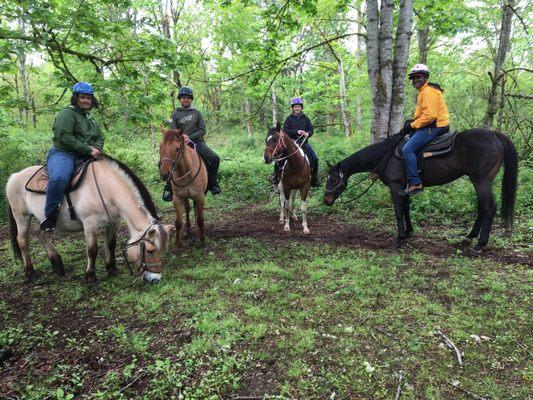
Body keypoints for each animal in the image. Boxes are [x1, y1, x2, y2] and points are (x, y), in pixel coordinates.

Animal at [5, 155, 175, 284]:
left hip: (44, 220)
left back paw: (57, 266)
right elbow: (92, 250)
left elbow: (110, 244)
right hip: (22, 217)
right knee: (23, 241)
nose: (155, 280)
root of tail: (14, 176)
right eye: (150, 251)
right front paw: (91, 277)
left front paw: (112, 268)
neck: (106, 189)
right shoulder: (90, 225)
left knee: (43, 235)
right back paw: (30, 272)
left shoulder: (113, 222)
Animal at [322, 129, 516, 253]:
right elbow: (406, 209)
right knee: (483, 208)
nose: (326, 200)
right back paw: (470, 236)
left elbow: (398, 211)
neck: (386, 155)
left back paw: (479, 245)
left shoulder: (395, 187)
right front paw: (408, 232)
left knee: (489, 208)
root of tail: (495, 135)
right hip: (479, 182)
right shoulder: (404, 188)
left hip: (481, 181)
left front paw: (399, 239)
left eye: (333, 179)